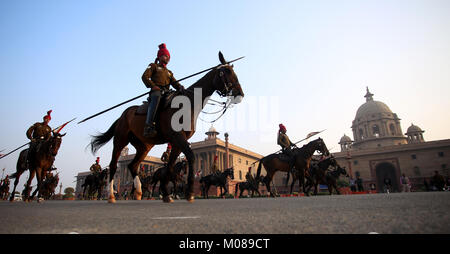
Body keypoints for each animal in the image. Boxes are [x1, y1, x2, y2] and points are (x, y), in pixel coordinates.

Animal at [88, 52, 243, 203]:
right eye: (226, 72)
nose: (240, 94)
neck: (188, 104)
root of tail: (122, 115)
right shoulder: (177, 136)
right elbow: (190, 157)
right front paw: (189, 193)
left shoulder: (178, 140)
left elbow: (170, 165)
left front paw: (167, 193)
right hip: (121, 139)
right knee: (114, 165)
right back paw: (111, 195)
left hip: (144, 146)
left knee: (132, 165)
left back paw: (138, 192)